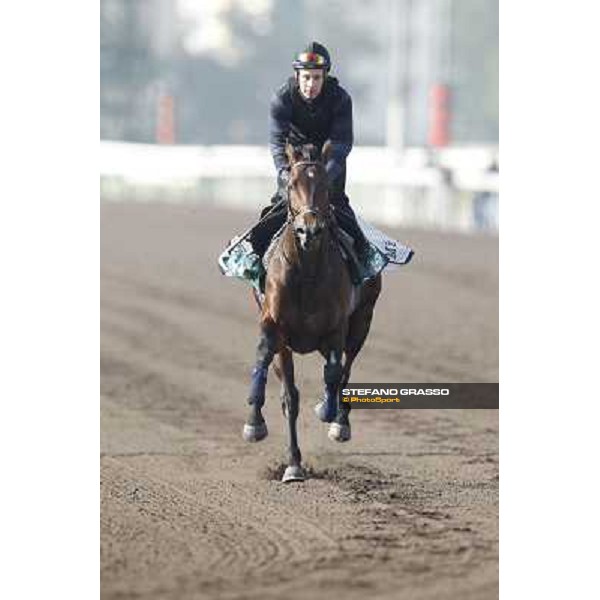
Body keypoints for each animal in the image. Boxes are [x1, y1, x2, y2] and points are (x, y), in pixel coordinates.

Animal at [243, 142, 380, 482]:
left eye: (326, 185)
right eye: (291, 183)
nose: (310, 230)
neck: (306, 272)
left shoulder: (336, 329)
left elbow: (333, 373)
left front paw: (328, 411)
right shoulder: (275, 328)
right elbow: (282, 386)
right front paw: (261, 430)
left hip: (363, 321)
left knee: (346, 368)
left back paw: (339, 421)